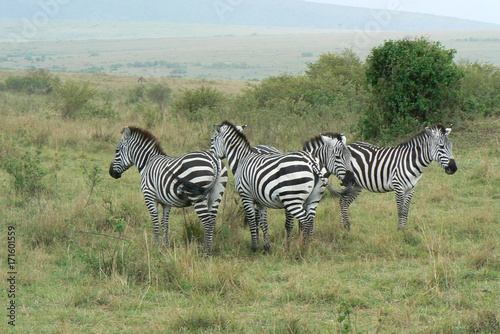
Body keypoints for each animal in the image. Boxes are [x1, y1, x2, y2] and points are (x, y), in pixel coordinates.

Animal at [110, 126, 229, 254]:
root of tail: (214, 160)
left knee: (207, 222)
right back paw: (210, 249)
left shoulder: (149, 196)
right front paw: (165, 245)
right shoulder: (166, 201)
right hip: (216, 195)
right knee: (212, 221)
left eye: (117, 151)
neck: (148, 163)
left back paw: (206, 252)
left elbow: (155, 221)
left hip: (197, 196)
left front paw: (156, 245)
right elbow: (165, 223)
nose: (111, 173)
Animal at [209, 121, 354, 252]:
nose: (351, 179)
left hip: (292, 200)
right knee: (310, 221)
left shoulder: (246, 196)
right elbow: (264, 223)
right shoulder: (260, 199)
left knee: (306, 221)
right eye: (339, 157)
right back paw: (308, 246)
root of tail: (311, 163)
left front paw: (256, 247)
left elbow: (254, 221)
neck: (242, 160)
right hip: (312, 199)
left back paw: (303, 249)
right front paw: (267, 247)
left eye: (212, 139)